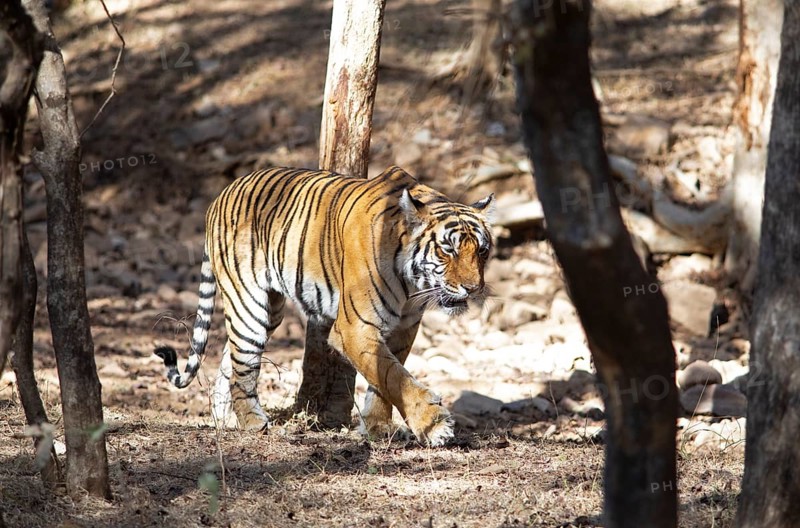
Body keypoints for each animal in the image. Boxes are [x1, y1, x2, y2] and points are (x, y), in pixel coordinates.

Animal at [155, 165, 494, 447]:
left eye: (482, 250)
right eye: (447, 250)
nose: (473, 288)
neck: (412, 286)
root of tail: (221, 195)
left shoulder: (403, 328)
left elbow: (385, 379)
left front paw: (378, 429)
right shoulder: (355, 327)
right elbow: (392, 375)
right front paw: (434, 425)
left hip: (269, 310)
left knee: (230, 357)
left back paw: (225, 419)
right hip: (249, 304)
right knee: (244, 364)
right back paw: (252, 422)